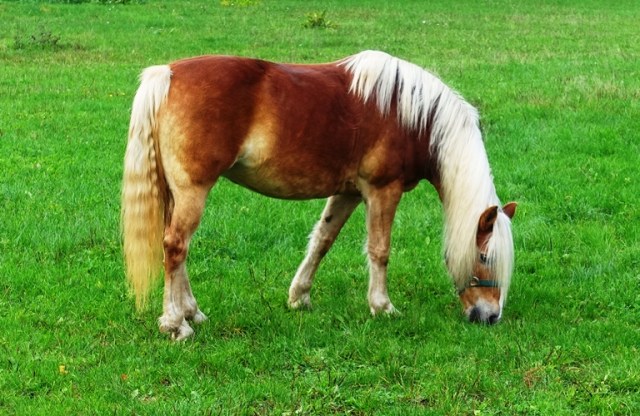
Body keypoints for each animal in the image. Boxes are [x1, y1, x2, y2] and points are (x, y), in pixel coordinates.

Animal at [121, 50, 516, 340]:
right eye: (484, 255)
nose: (490, 316)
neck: (412, 115)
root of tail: (167, 74)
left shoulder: (349, 193)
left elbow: (322, 240)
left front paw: (300, 297)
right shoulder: (382, 191)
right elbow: (380, 250)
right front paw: (382, 306)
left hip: (177, 194)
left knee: (175, 249)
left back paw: (193, 313)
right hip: (193, 191)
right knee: (175, 247)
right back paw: (176, 324)